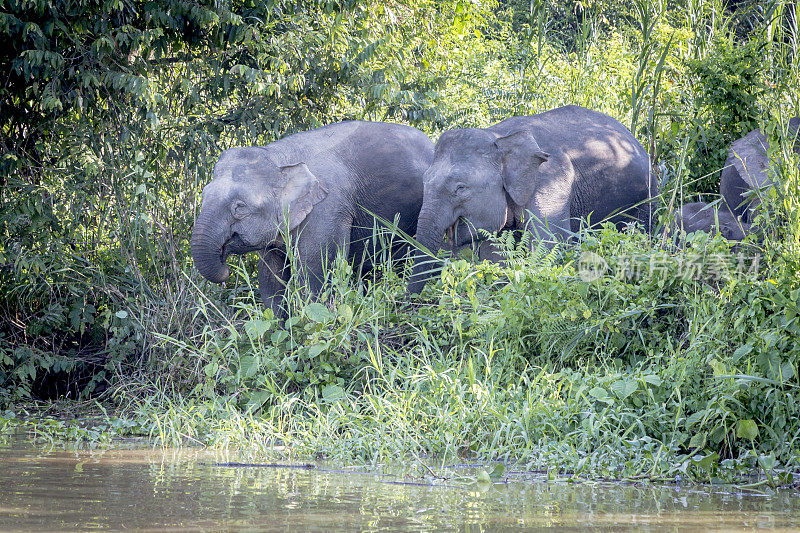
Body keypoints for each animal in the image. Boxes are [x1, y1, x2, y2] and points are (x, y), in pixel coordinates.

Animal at [191, 120, 434, 314]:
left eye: (239, 207)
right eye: (203, 194)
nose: (227, 271)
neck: (278, 156)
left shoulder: (327, 210)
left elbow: (315, 277)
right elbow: (271, 280)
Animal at [410, 104, 652, 294]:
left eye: (460, 188)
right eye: (424, 181)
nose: (408, 301)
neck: (499, 137)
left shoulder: (552, 180)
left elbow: (551, 246)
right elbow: (495, 254)